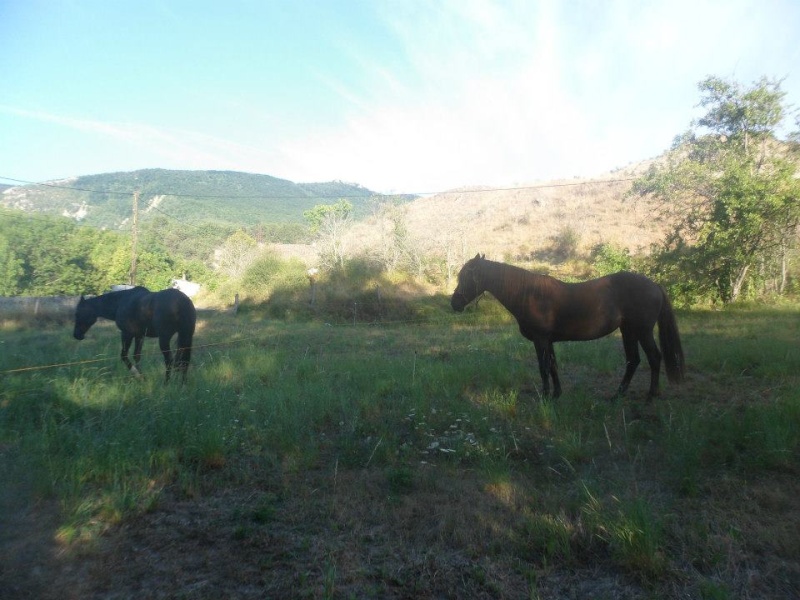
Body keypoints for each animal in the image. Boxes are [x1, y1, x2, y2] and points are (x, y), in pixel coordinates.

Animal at [454, 253, 684, 398]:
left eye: (466, 276)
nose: (454, 303)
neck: (530, 295)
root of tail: (655, 285)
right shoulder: (549, 341)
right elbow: (553, 366)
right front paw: (557, 394)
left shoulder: (540, 340)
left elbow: (543, 367)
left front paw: (545, 396)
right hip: (628, 331)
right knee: (633, 361)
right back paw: (618, 395)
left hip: (642, 332)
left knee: (654, 358)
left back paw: (651, 395)